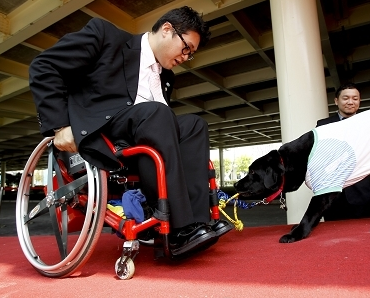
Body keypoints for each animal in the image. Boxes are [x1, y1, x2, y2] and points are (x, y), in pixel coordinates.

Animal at [234, 112, 370, 242]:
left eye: (252, 172)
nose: (235, 184)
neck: (290, 160)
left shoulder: (324, 190)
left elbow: (309, 214)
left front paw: (296, 234)